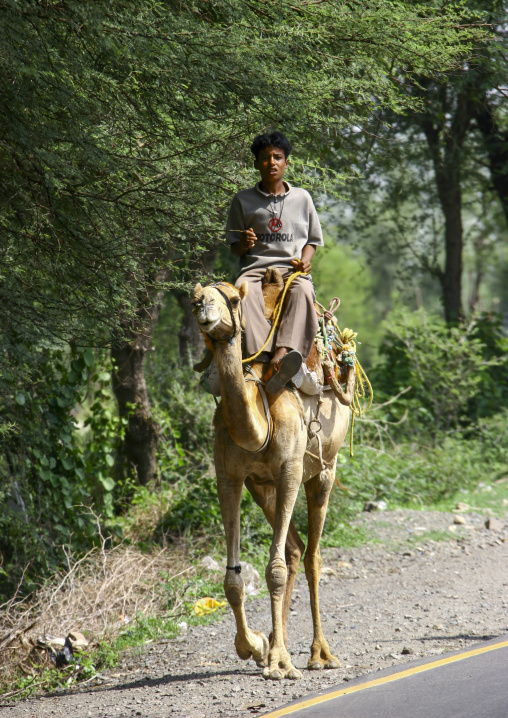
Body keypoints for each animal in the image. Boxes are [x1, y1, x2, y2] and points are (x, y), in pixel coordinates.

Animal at [190, 270, 355, 680]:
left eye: (233, 299)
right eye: (194, 299)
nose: (205, 310)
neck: (258, 420)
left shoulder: (290, 471)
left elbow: (274, 569)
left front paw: (280, 662)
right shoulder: (229, 477)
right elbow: (233, 580)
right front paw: (255, 646)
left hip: (324, 469)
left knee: (312, 556)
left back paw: (320, 654)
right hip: (261, 486)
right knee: (295, 550)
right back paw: (275, 645)